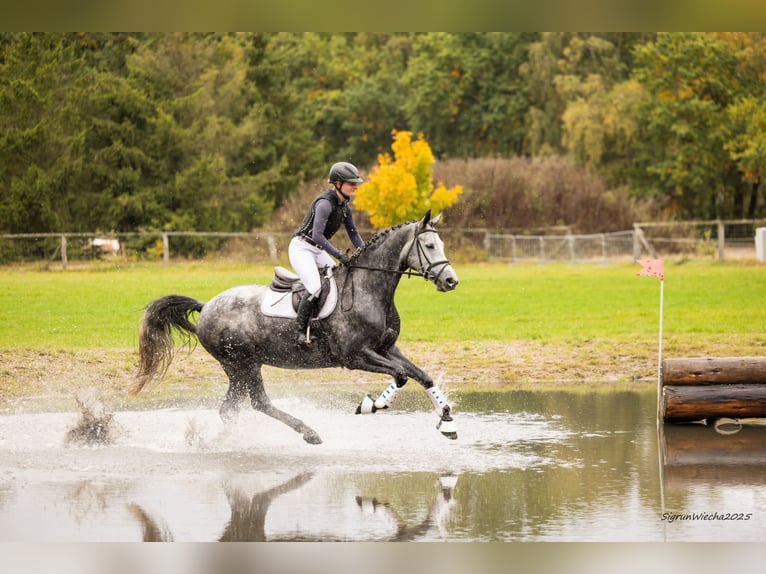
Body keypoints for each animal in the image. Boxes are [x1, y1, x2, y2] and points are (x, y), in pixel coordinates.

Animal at [131, 211, 459, 445]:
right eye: (430, 246)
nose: (451, 281)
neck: (370, 288)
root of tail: (207, 306)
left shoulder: (387, 348)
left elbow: (422, 375)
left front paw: (446, 420)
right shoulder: (355, 357)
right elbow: (401, 376)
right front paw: (370, 405)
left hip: (240, 367)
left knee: (232, 408)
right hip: (241, 363)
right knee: (258, 402)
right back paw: (307, 433)